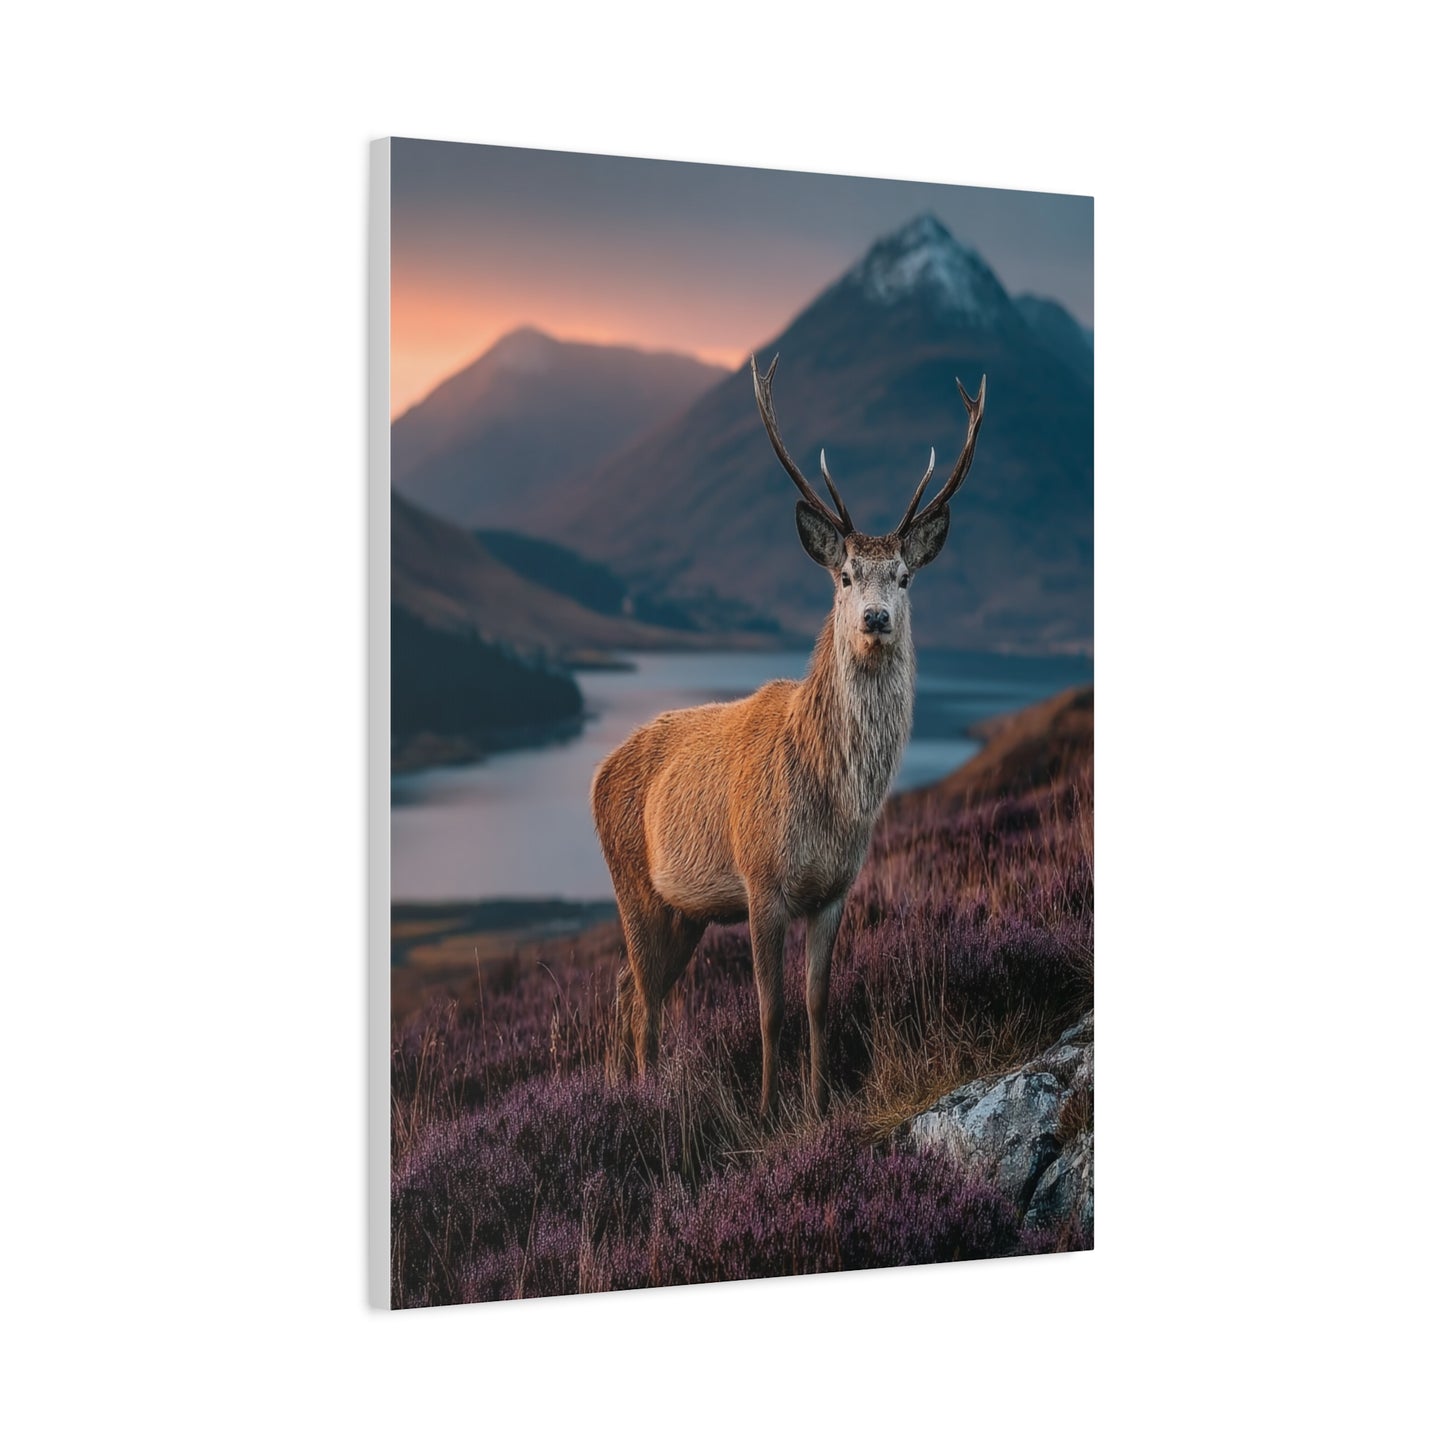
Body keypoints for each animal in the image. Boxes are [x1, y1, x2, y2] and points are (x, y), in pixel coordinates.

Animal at [590, 354, 986, 1116]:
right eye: (845, 574)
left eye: (902, 576)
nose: (874, 619)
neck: (832, 804)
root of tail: (596, 771)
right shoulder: (761, 880)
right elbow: (769, 1007)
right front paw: (771, 1108)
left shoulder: (834, 891)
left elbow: (817, 1002)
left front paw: (818, 1100)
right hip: (633, 883)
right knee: (644, 997)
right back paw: (645, 1095)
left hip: (684, 908)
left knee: (628, 987)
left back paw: (622, 1088)